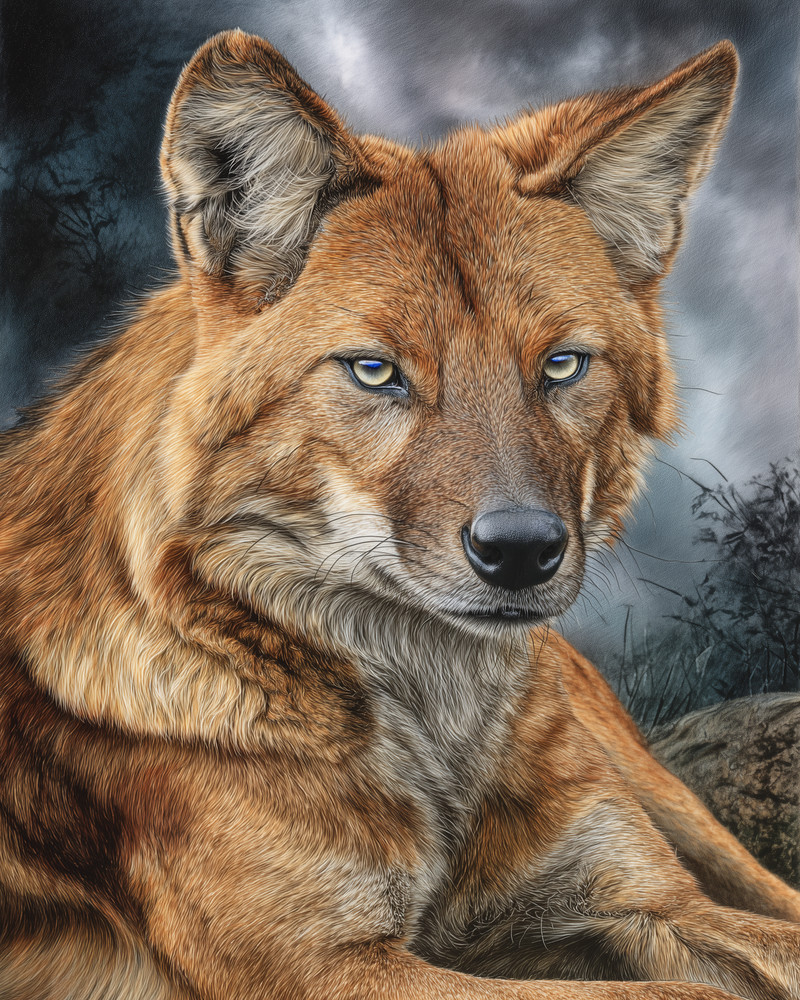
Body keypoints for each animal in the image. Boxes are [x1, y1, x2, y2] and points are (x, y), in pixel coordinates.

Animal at [0, 28, 798, 1000]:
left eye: (563, 365)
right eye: (376, 372)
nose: (521, 550)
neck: (433, 720)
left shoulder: (645, 899)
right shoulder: (326, 966)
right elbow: (673, 991)